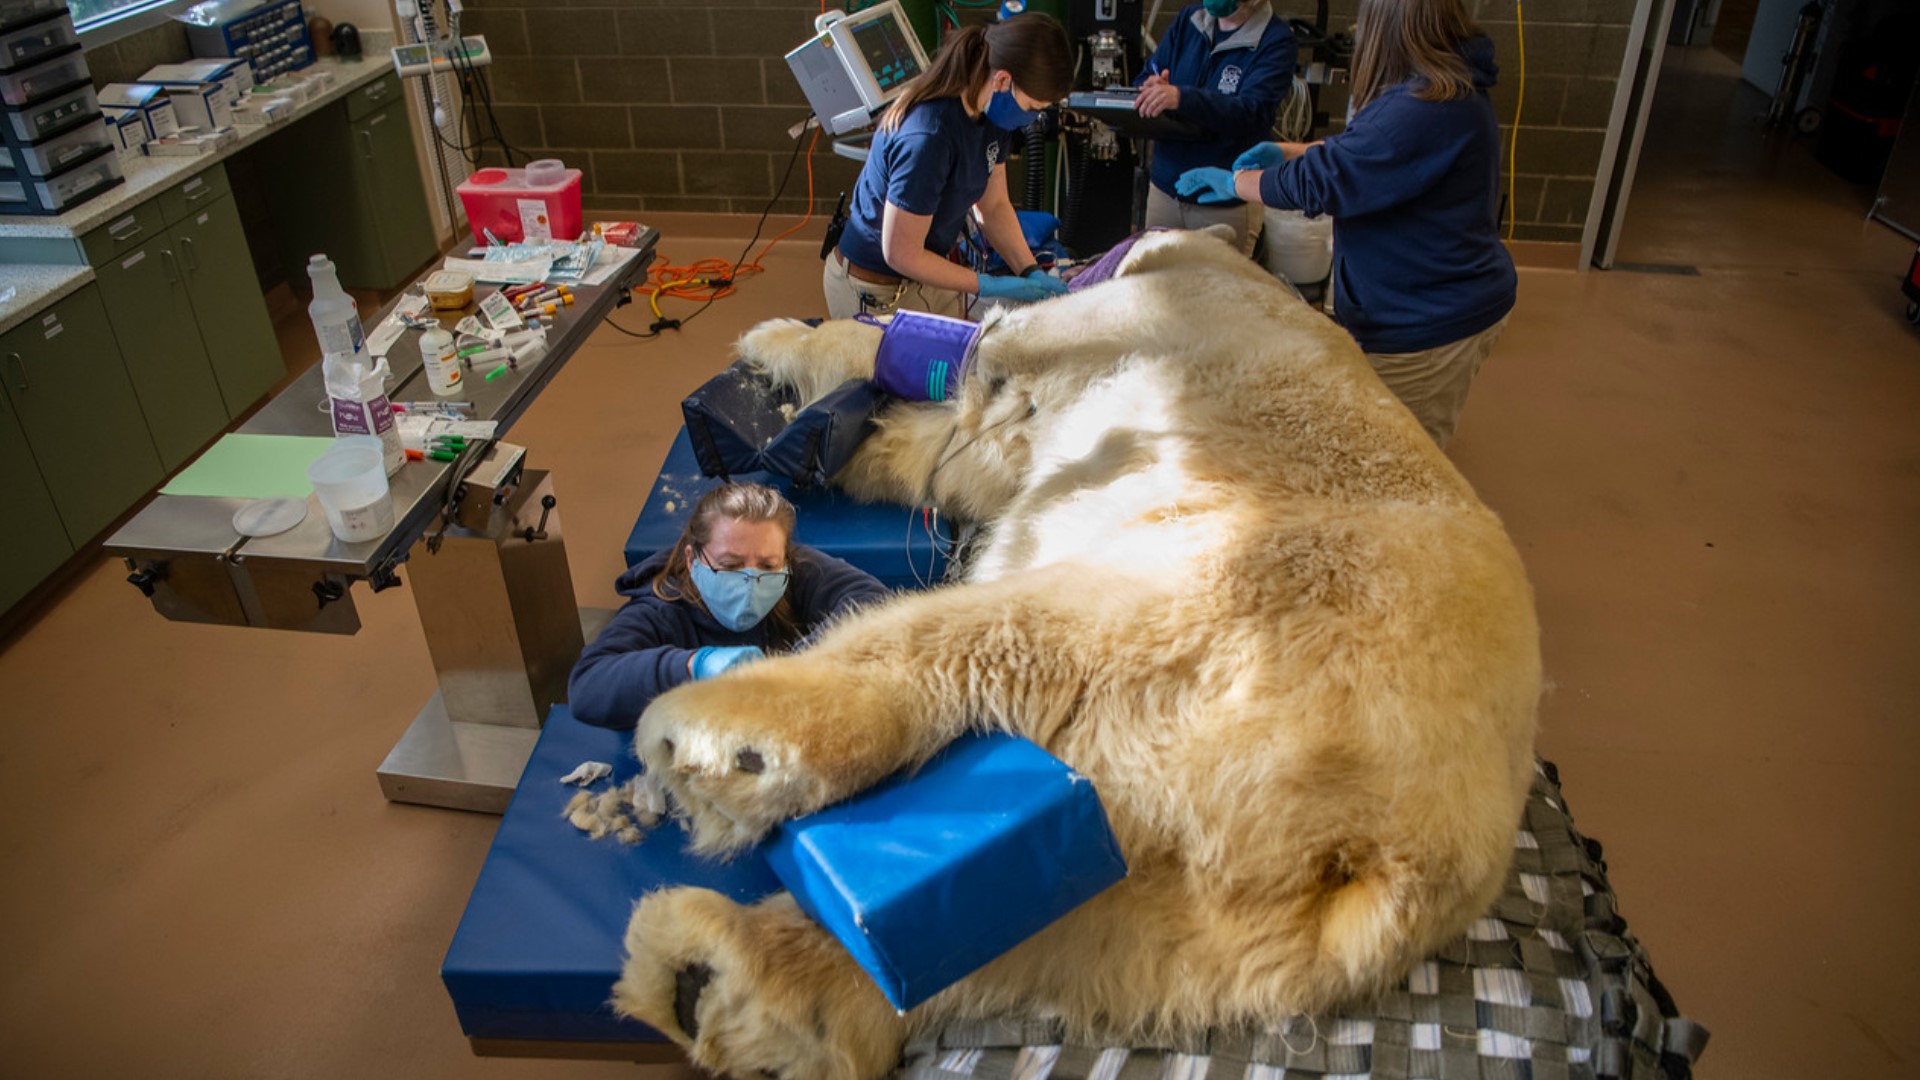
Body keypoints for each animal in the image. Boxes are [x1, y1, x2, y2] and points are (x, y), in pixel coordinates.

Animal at [610, 228, 1542, 1080]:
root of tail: (1384, 842)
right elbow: (967, 451)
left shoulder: (1118, 319)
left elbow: (966, 362)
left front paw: (777, 343)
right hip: (1224, 916)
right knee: (1044, 929)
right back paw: (718, 978)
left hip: (1233, 592)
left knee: (998, 639)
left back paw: (724, 744)